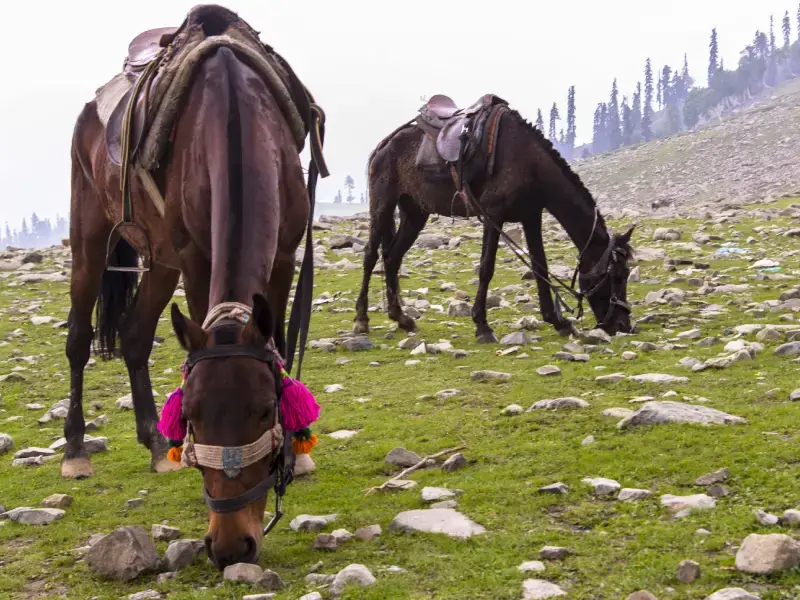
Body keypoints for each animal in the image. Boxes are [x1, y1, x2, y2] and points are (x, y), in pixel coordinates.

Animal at [66, 5, 326, 568]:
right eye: (192, 415)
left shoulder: (284, 253)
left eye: (265, 411)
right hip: (90, 238)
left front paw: (295, 454)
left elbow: (280, 342)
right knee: (77, 341)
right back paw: (74, 451)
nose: (230, 547)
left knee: (136, 336)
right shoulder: (194, 258)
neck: (232, 114)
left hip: (159, 261)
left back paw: (152, 445)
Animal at [353, 99, 634, 343]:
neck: (529, 162)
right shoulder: (493, 214)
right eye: (616, 276)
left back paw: (401, 318)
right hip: (382, 205)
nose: (623, 325)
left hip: (414, 214)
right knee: (371, 256)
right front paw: (482, 326)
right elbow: (486, 268)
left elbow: (540, 267)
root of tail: (384, 144)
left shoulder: (531, 216)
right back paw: (361, 319)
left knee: (392, 257)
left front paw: (557, 321)